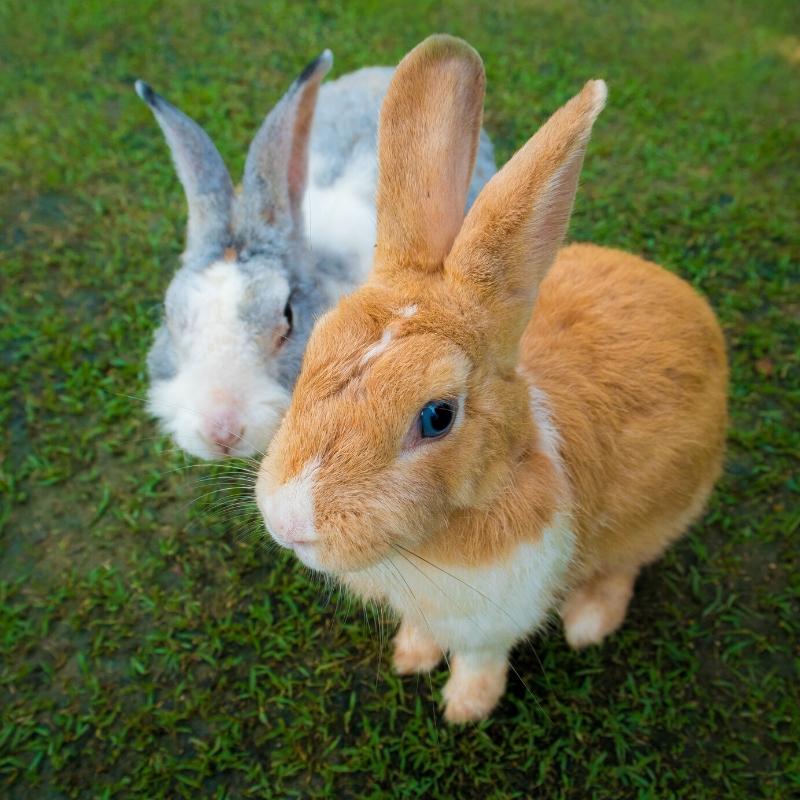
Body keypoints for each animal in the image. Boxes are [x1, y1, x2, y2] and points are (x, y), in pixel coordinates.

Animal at [253, 36, 728, 724]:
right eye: (312, 346)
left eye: (437, 416)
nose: (289, 521)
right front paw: (411, 657)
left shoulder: (496, 617)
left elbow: (481, 659)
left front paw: (464, 708)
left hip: (659, 512)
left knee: (625, 566)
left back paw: (587, 623)